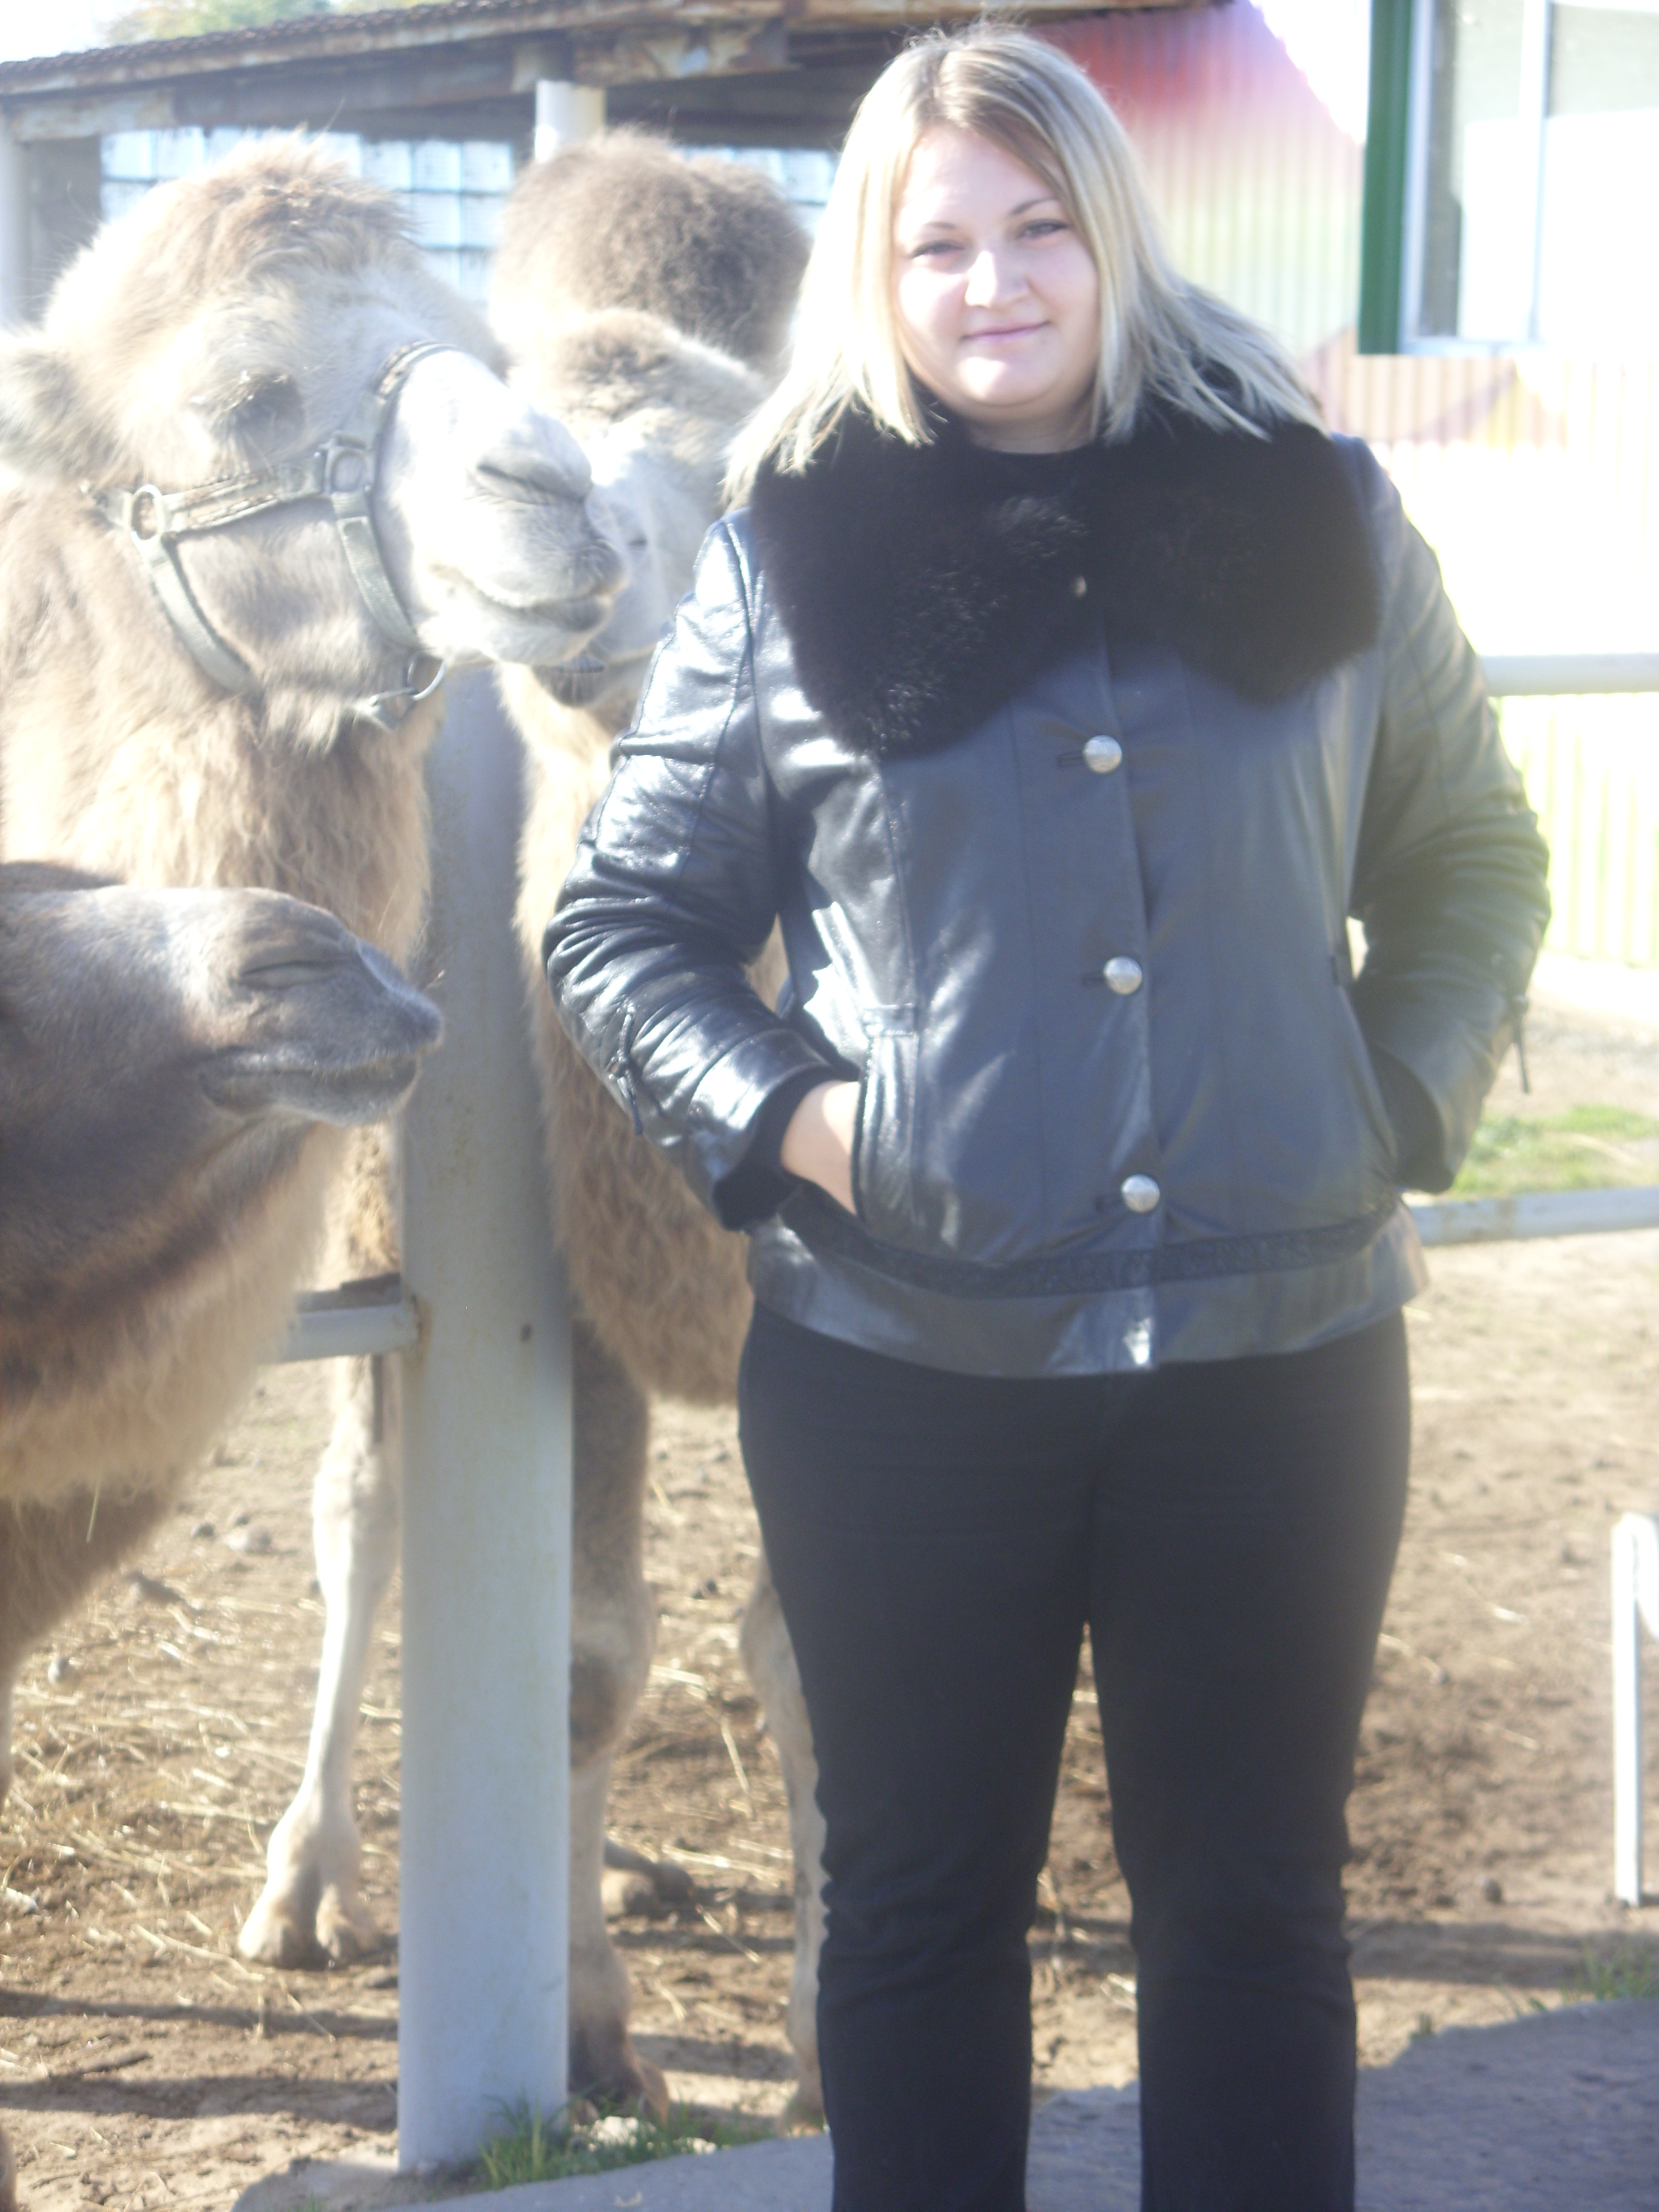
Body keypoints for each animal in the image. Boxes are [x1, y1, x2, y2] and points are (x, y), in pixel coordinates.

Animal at [246, 132, 829, 2122]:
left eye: (736, 485)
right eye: (553, 443)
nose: (585, 572)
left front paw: (823, 2042)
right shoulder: (565, 1302)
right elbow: (582, 1656)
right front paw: (582, 2030)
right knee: (361, 1509)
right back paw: (308, 1878)